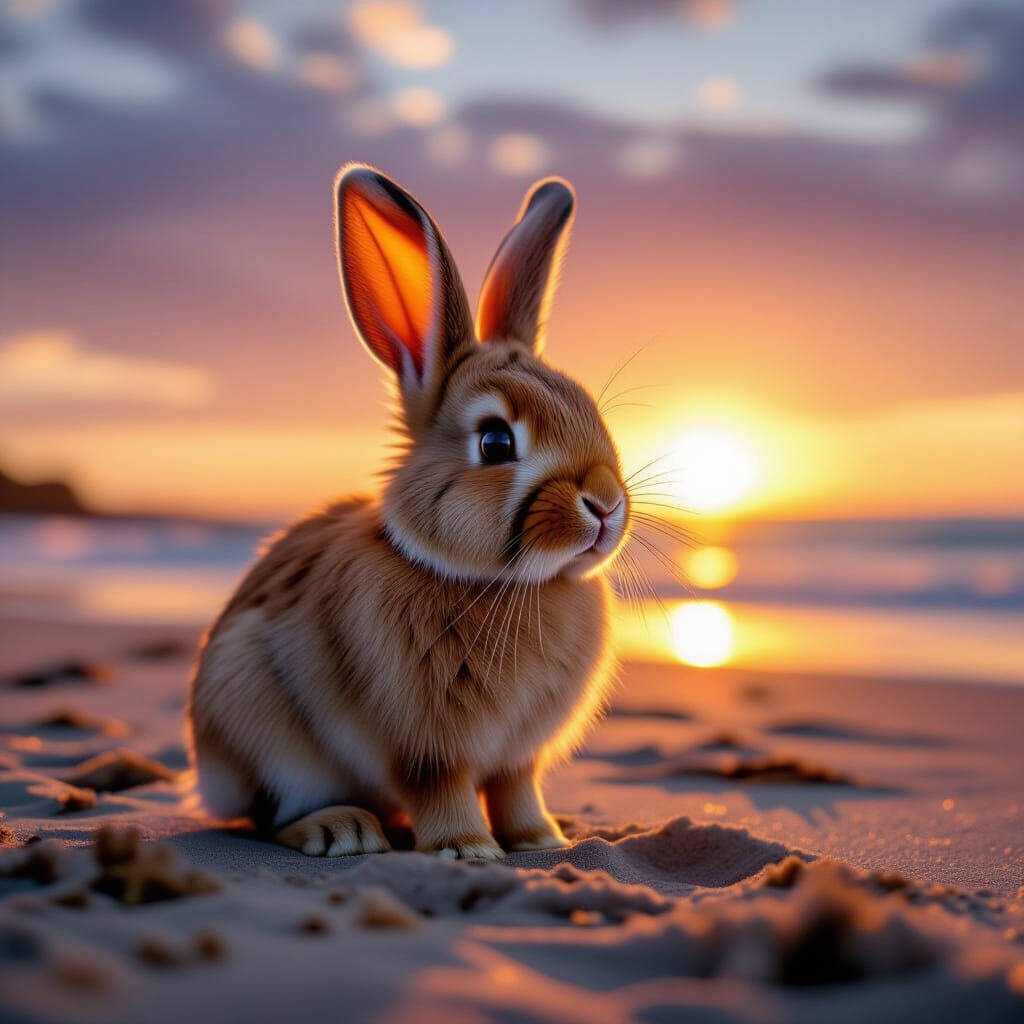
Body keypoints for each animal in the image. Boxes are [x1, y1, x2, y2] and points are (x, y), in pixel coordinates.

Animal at [187, 163, 630, 860]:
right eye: (496, 442)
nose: (607, 506)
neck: (502, 582)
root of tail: (207, 775)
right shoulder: (425, 746)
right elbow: (441, 787)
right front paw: (467, 849)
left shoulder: (518, 757)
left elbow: (516, 788)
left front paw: (542, 841)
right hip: (261, 724)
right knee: (269, 816)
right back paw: (341, 830)